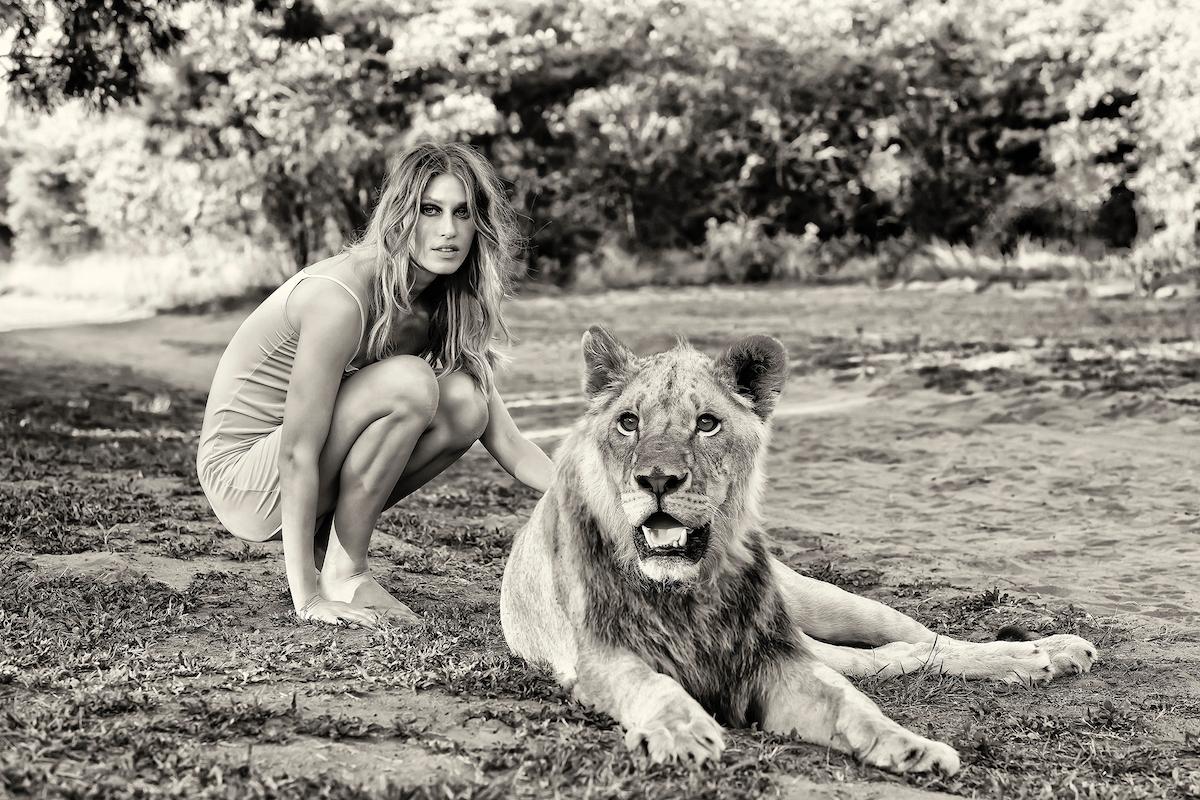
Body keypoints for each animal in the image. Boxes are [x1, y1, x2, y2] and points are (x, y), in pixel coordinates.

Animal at [496, 326, 1099, 777]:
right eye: (628, 422)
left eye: (707, 424)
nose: (658, 479)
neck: (688, 588)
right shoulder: (599, 657)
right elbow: (654, 683)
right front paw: (682, 731)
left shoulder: (773, 658)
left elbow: (850, 704)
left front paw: (910, 746)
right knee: (882, 660)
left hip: (824, 604)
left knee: (915, 644)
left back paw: (1044, 653)